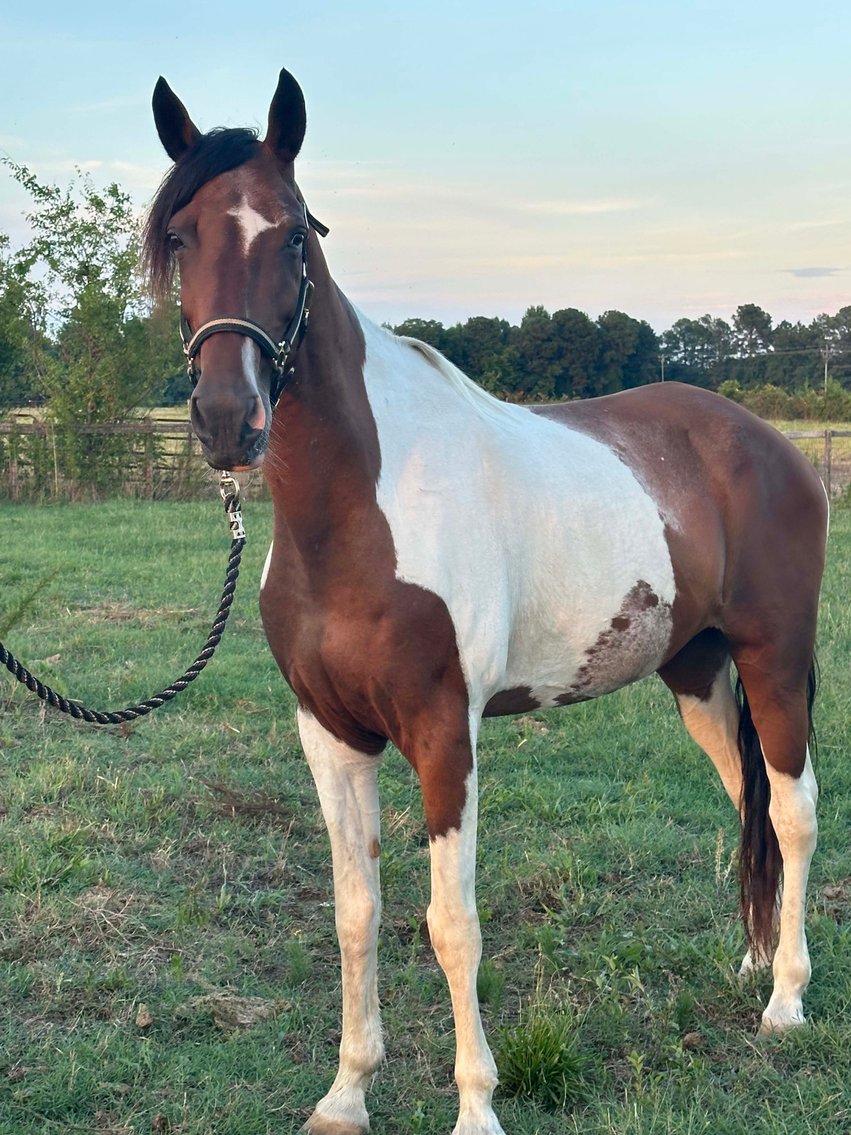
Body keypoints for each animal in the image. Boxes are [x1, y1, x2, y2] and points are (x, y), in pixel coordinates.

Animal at [143, 69, 828, 1135]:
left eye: (293, 234)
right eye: (179, 236)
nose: (225, 418)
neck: (361, 510)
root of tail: (772, 444)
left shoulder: (442, 731)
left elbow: (450, 922)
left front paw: (475, 1105)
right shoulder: (329, 733)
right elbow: (356, 909)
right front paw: (346, 1091)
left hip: (773, 660)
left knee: (794, 813)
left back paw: (785, 999)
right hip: (699, 674)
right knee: (744, 797)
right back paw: (753, 961)